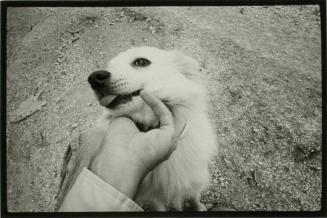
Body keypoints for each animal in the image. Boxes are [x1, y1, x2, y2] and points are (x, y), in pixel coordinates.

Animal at [58, 46, 218, 211]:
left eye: (141, 62)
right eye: (110, 66)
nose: (94, 78)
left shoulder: (195, 179)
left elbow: (195, 196)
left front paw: (200, 207)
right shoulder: (154, 197)